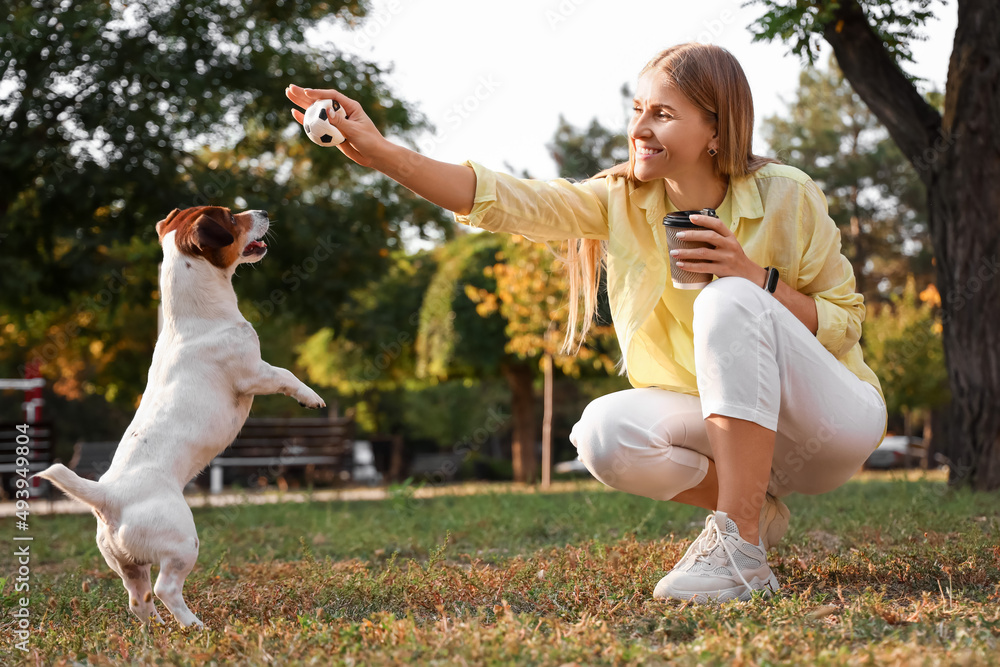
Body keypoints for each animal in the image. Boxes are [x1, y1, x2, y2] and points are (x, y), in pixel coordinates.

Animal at [34, 206, 324, 628]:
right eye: (232, 217)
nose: (264, 211)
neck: (194, 316)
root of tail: (108, 498)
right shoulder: (253, 373)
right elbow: (286, 375)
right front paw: (311, 398)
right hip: (183, 542)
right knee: (165, 589)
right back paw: (195, 627)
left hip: (127, 564)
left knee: (138, 600)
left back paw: (156, 630)